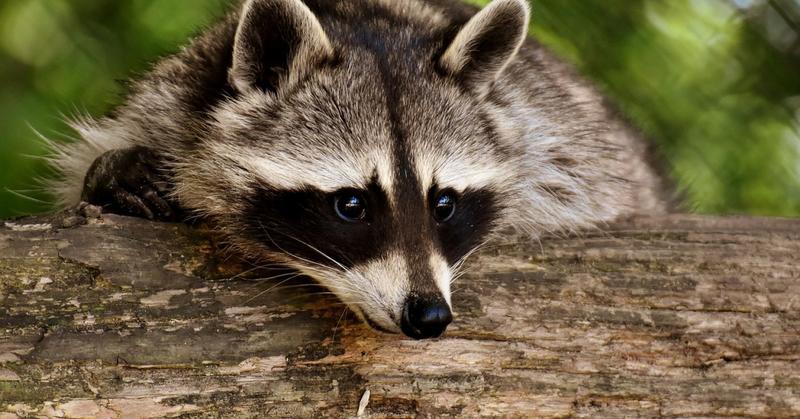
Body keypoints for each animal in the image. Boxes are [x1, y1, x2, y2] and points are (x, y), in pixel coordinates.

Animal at [48, 0, 669, 339]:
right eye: (351, 204)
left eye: (443, 203)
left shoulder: (558, 141)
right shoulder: (169, 101)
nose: (429, 316)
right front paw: (115, 174)